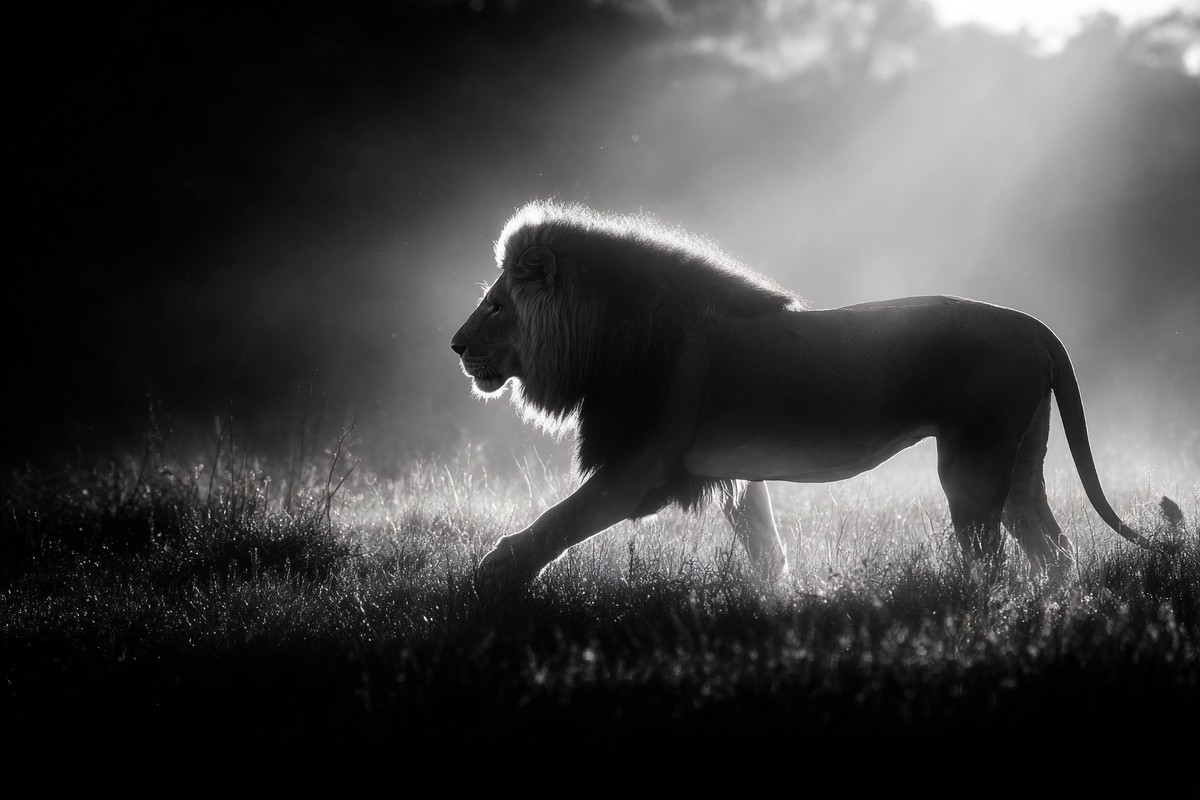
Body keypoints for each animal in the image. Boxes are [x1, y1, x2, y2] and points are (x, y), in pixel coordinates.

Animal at [451, 200, 1156, 597]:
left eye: (497, 306)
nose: (455, 346)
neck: (612, 336)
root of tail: (1034, 326)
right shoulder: (730, 470)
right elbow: (765, 544)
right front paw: (776, 601)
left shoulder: (639, 468)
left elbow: (557, 522)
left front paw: (488, 578)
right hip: (1019, 461)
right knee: (1052, 548)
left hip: (973, 463)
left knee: (990, 558)